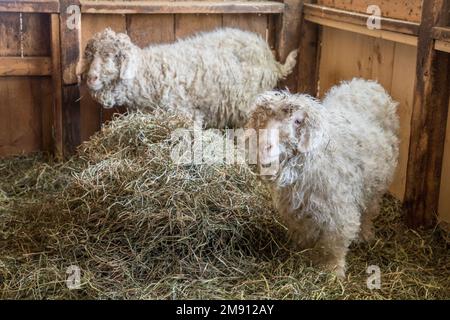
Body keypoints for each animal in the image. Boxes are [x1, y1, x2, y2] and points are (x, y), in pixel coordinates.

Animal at [80, 27, 298, 127]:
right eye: (90, 55)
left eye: (111, 55)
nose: (91, 78)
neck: (148, 73)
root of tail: (272, 60)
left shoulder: (187, 113)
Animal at [246, 78, 400, 278]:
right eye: (263, 120)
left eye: (298, 121)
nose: (265, 146)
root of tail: (367, 83)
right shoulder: (297, 209)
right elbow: (304, 234)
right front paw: (304, 256)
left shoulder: (338, 208)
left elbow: (335, 241)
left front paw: (334, 271)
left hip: (376, 184)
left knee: (369, 209)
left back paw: (364, 234)